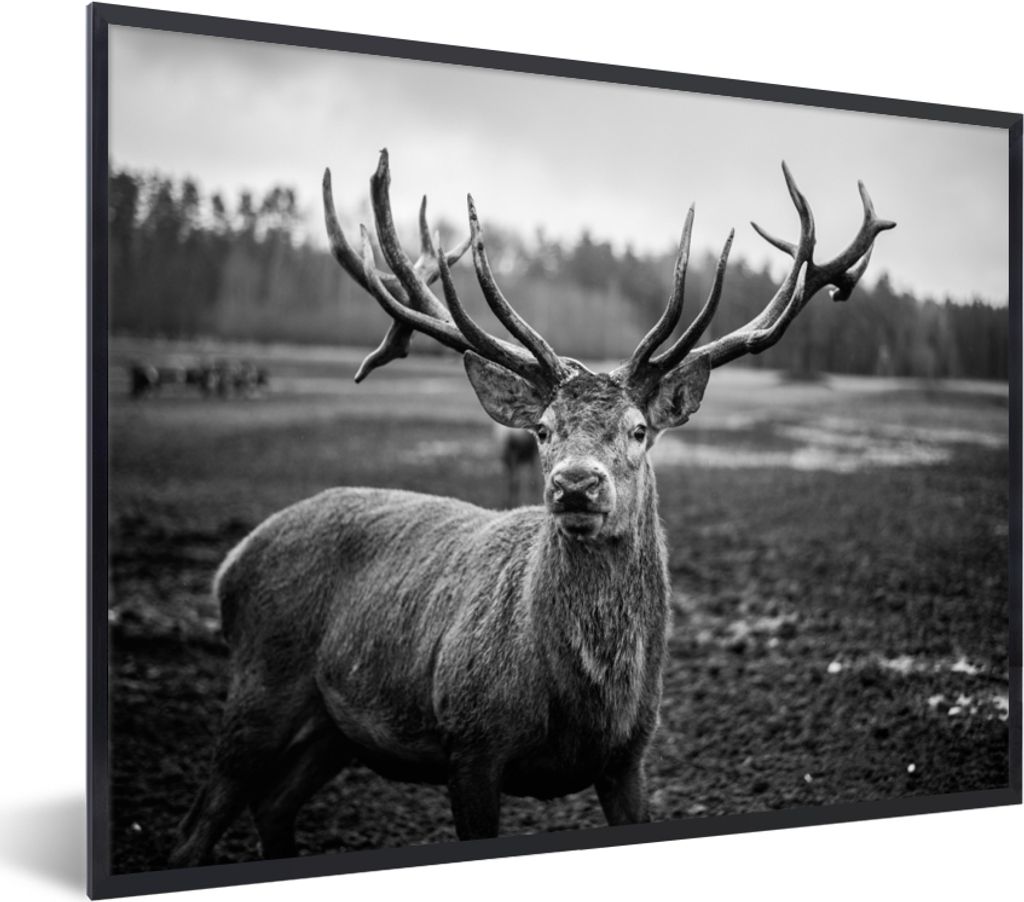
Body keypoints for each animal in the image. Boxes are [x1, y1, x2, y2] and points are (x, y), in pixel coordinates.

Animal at [169, 150, 893, 867]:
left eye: (638, 429)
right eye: (543, 430)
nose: (575, 484)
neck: (587, 701)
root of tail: (230, 565)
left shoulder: (630, 758)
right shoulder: (471, 742)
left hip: (332, 729)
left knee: (273, 805)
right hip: (262, 682)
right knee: (198, 828)